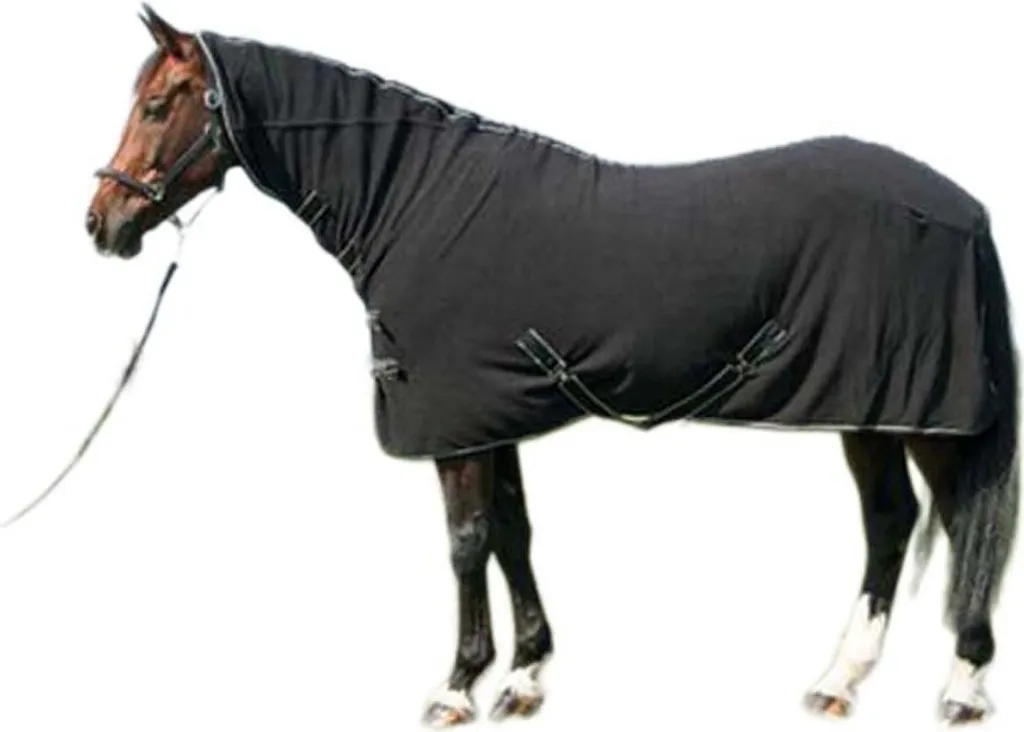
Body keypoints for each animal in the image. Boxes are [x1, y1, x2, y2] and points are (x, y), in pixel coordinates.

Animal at [85, 5, 1019, 726]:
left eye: (160, 103)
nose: (101, 223)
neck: (418, 202)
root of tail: (965, 207)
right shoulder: (491, 412)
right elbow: (513, 532)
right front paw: (526, 676)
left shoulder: (456, 425)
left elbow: (466, 544)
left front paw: (458, 687)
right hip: (873, 411)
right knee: (892, 522)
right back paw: (838, 682)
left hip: (923, 415)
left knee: (954, 518)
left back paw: (964, 688)